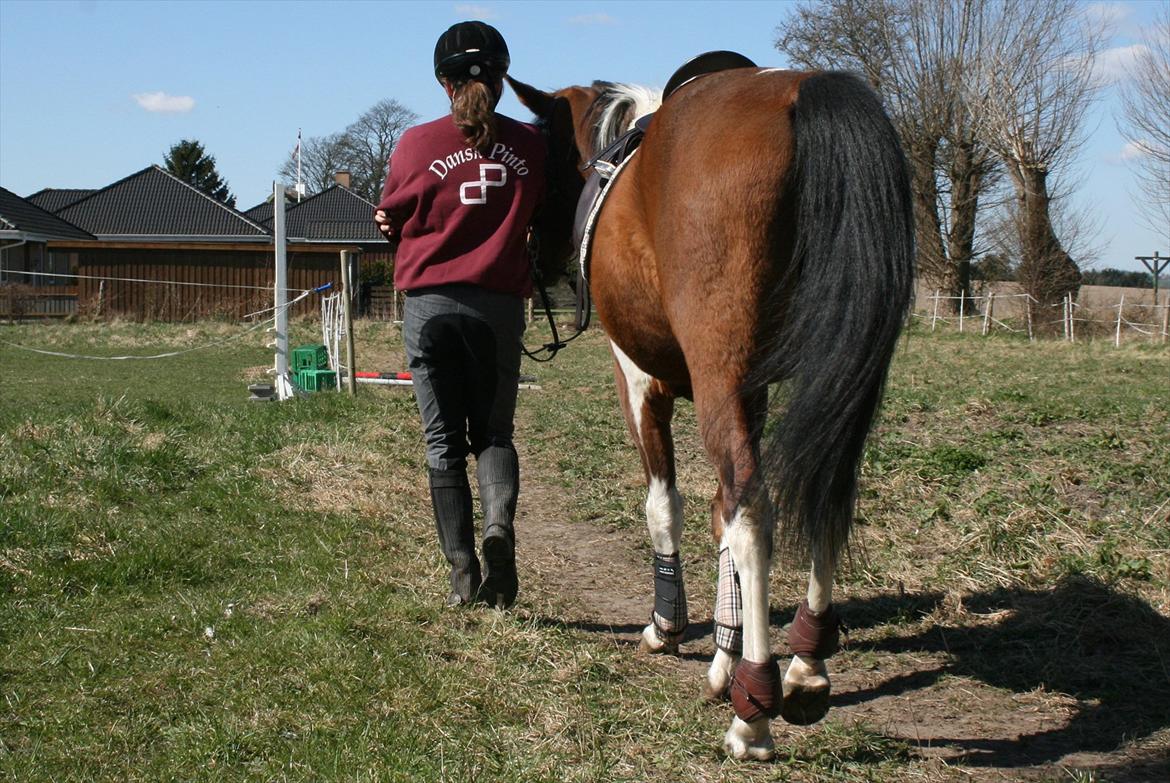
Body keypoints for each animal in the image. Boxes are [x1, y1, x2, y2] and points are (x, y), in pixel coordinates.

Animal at [512, 68, 912, 758]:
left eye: (533, 156)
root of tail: (804, 89)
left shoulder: (642, 383)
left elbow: (668, 505)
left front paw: (669, 627)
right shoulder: (753, 393)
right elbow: (718, 512)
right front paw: (725, 652)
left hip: (723, 368)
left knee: (754, 512)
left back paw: (755, 707)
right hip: (838, 371)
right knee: (823, 490)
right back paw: (807, 664)